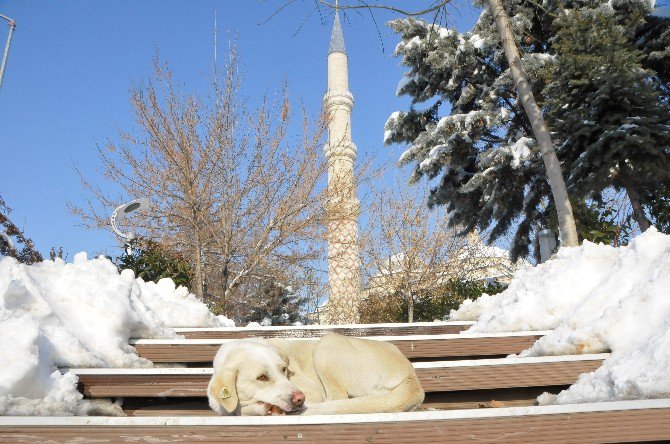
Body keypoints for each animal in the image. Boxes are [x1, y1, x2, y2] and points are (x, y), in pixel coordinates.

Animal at [207, 332, 426, 416]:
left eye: (284, 369)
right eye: (262, 377)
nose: (299, 399)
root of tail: (412, 379)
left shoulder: (313, 393)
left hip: (325, 344)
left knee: (337, 398)